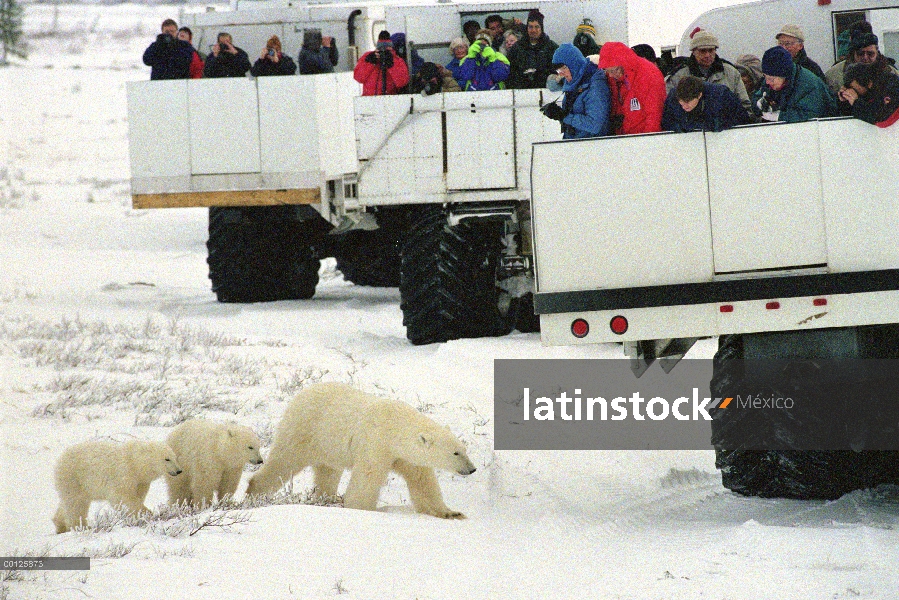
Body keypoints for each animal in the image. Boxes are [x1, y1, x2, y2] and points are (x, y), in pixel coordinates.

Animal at [243, 384, 474, 516]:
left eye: (464, 449)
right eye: (455, 453)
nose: (472, 469)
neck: (395, 425)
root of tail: (302, 393)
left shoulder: (404, 455)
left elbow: (422, 481)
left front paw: (451, 513)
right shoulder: (376, 442)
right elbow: (367, 477)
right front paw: (362, 509)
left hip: (328, 445)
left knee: (327, 472)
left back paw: (326, 498)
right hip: (305, 429)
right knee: (284, 461)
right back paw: (255, 492)